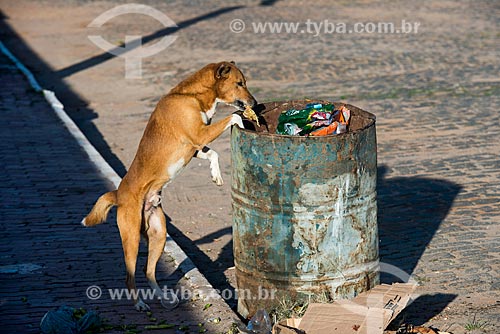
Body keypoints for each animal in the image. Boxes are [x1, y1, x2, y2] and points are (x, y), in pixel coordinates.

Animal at [82, 61, 258, 312]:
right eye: (239, 83)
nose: (254, 103)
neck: (193, 96)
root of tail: (118, 194)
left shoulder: (196, 146)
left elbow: (212, 154)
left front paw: (215, 175)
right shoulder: (199, 135)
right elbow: (233, 118)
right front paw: (244, 120)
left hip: (159, 234)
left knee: (148, 271)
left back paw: (164, 299)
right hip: (131, 238)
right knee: (130, 275)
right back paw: (139, 304)